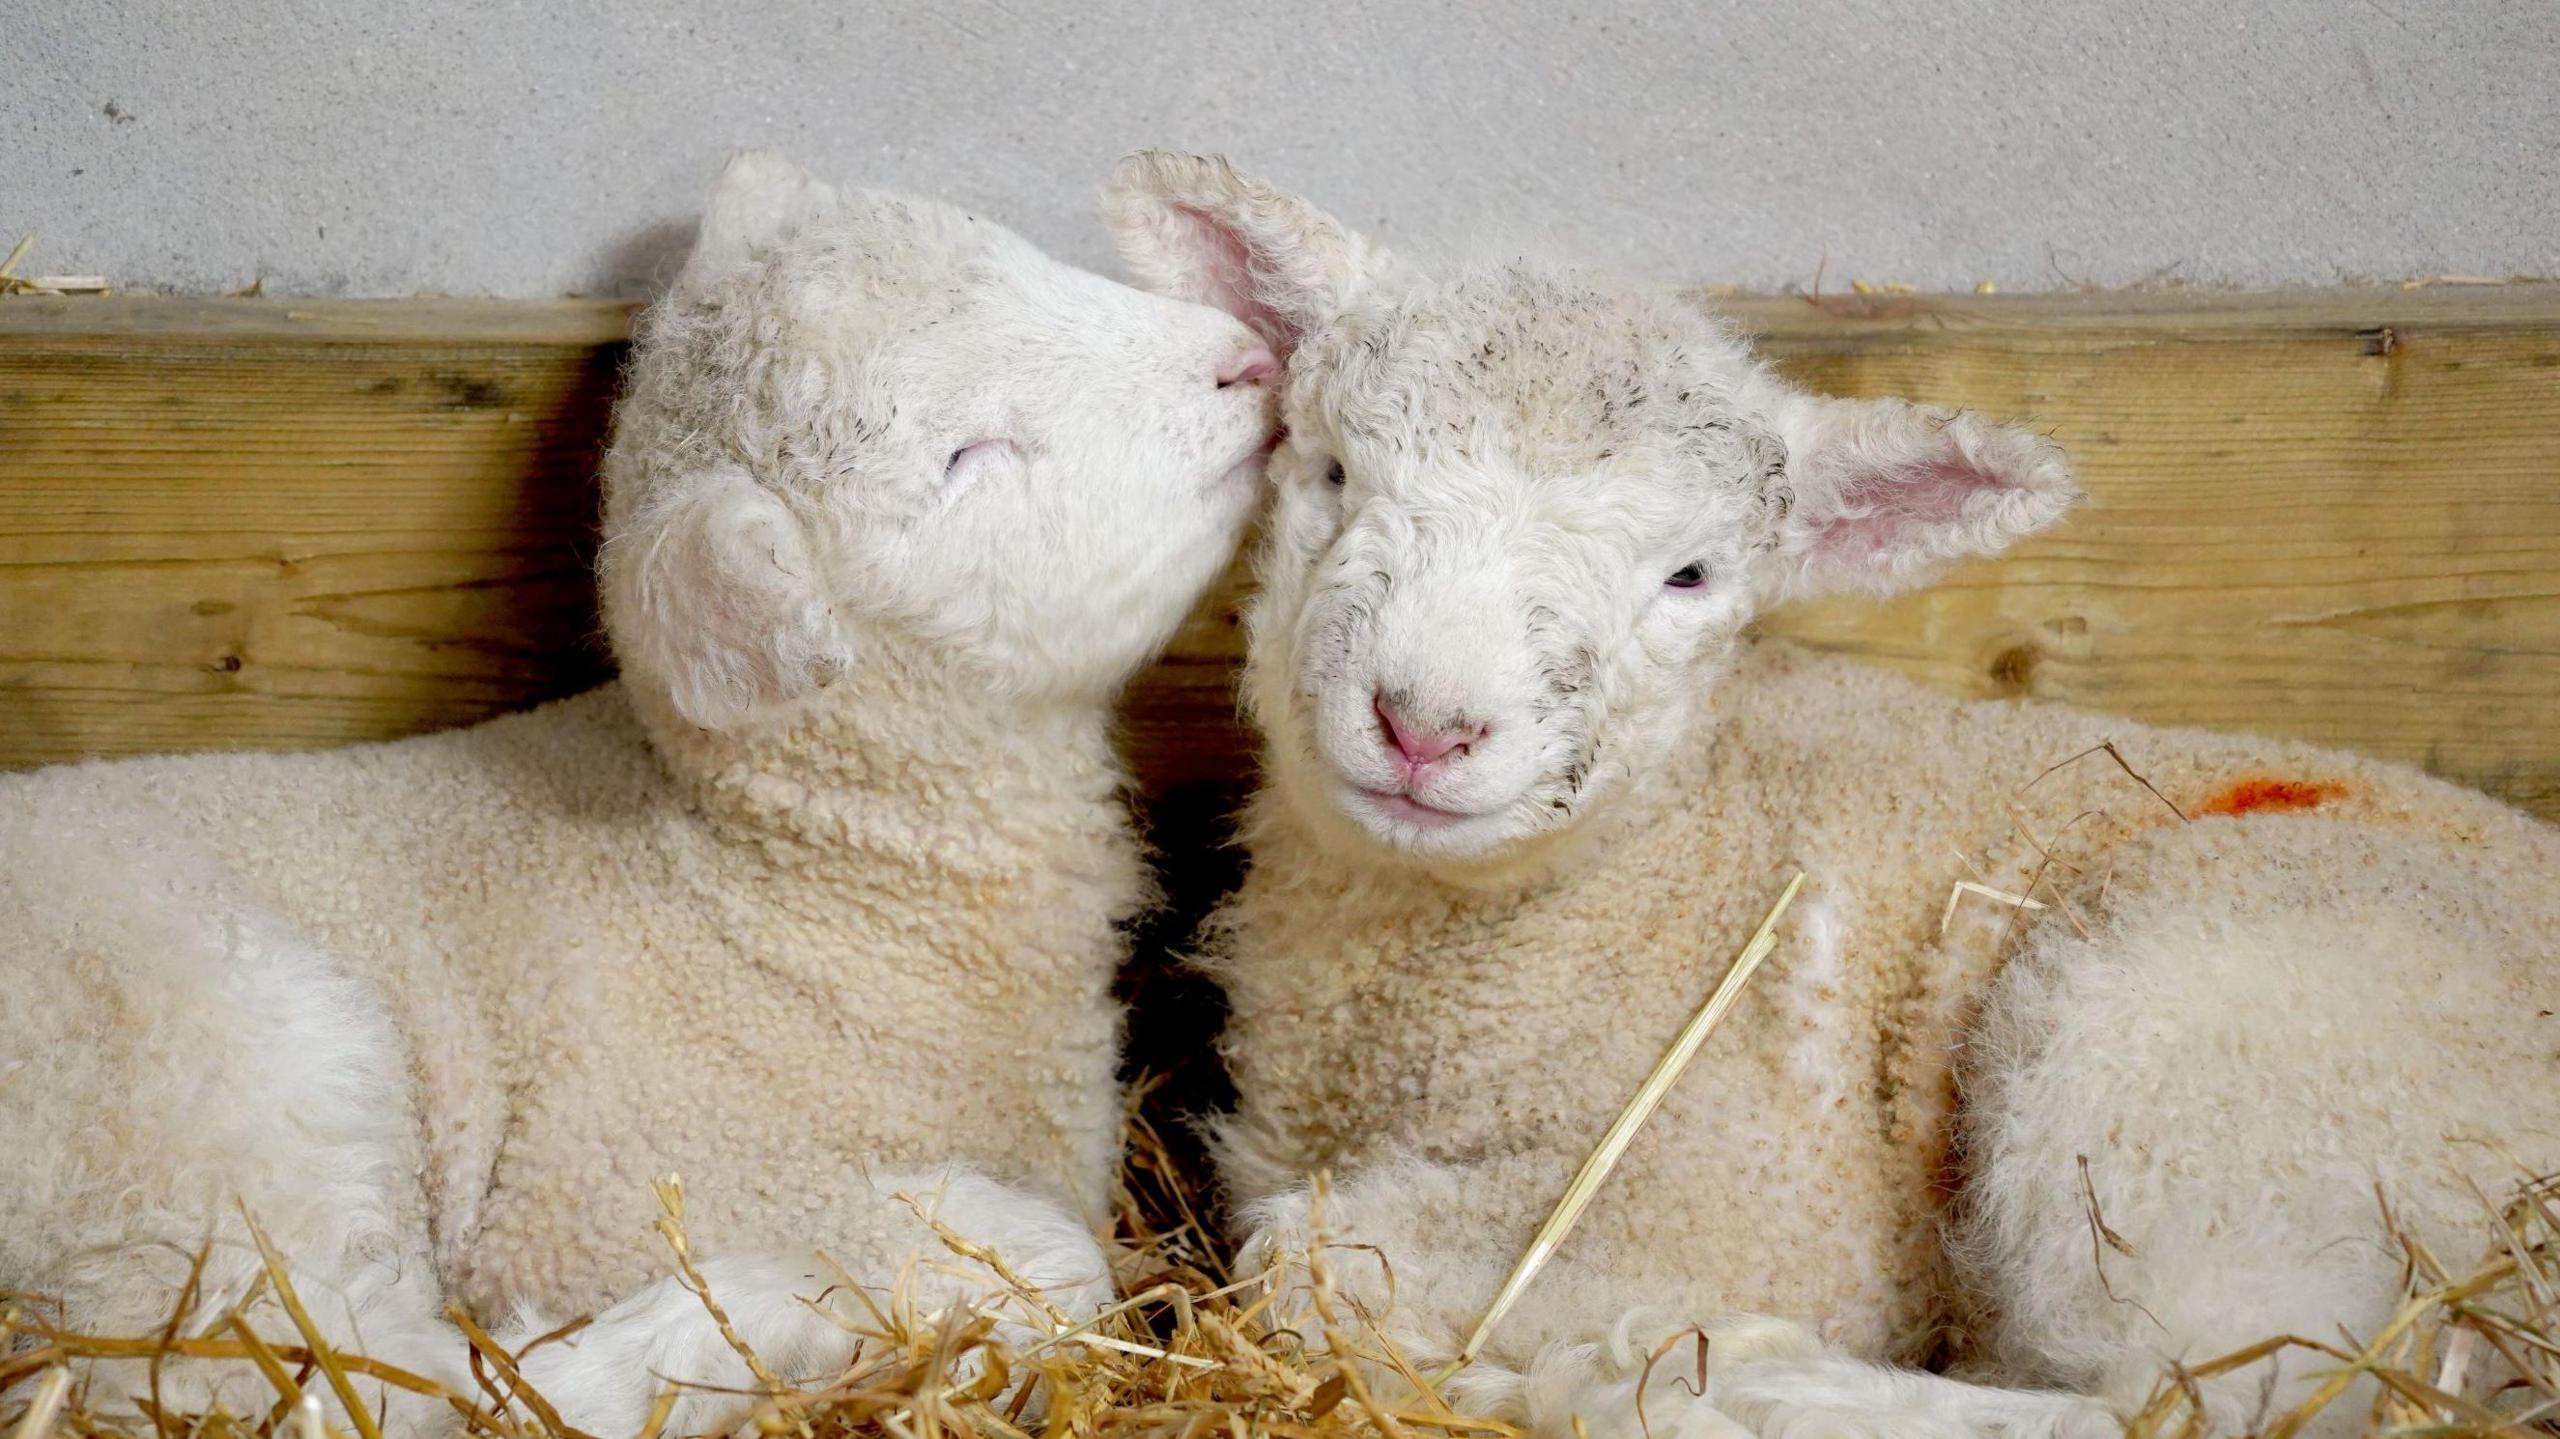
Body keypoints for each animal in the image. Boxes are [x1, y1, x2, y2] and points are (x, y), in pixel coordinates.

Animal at [0, 148, 1280, 1433]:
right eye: (967, 457)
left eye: (1022, 258)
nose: (1250, 361)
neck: (792, 884)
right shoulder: (600, 1192)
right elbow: (1048, 1255)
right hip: (206, 1103)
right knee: (333, 1377)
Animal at [1100, 148, 2560, 1433]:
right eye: (1333, 470)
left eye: (1692, 575)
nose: (1425, 723)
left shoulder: (1763, 1200)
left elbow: (1302, 1254)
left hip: (2189, 1056)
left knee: (2202, 1395)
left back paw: (1725, 1393)